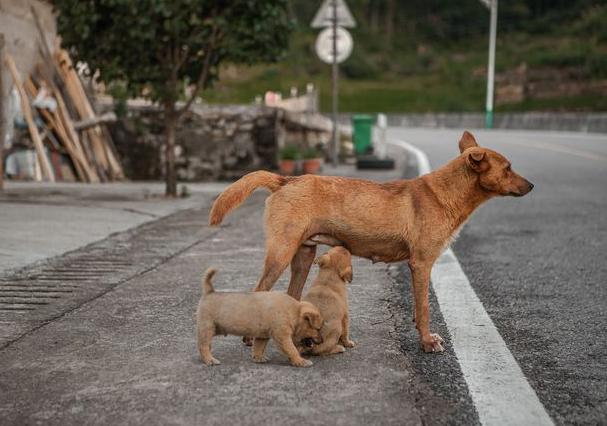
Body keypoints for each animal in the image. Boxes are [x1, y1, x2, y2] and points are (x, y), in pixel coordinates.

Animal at [197, 268, 326, 368]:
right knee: (203, 346)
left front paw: (258, 358)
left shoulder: (262, 336)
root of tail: (209, 292)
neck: (294, 311)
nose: (322, 341)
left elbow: (258, 348)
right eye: (318, 329)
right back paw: (209, 359)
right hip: (208, 327)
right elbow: (292, 350)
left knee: (204, 345)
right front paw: (301, 361)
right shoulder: (282, 337)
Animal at [209, 131, 532, 354]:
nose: (531, 185)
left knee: (291, 295)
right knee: (259, 291)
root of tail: (285, 180)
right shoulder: (421, 264)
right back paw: (252, 337)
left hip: (303, 256)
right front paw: (427, 342)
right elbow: (425, 308)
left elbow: (418, 310)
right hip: (281, 253)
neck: (446, 192)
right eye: (508, 168)